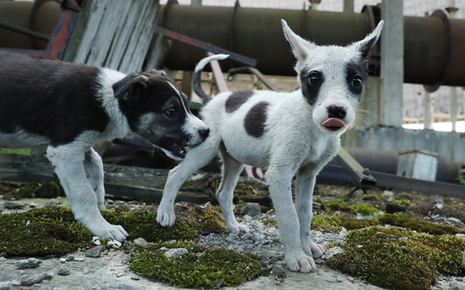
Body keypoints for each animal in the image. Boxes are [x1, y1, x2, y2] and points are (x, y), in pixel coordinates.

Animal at [0, 51, 208, 240]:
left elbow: (97, 161)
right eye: (171, 110)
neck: (109, 100)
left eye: (187, 107)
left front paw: (99, 194)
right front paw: (101, 226)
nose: (206, 131)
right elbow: (83, 192)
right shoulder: (64, 149)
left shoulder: (80, 141)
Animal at [158, 19, 382, 272]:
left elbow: (305, 213)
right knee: (175, 174)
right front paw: (297, 257)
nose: (336, 111)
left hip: (234, 159)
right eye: (314, 78)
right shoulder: (279, 174)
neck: (312, 125)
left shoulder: (308, 175)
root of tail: (213, 99)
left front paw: (308, 246)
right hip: (204, 150)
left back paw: (233, 226)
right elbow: (289, 217)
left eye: (356, 81)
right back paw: (165, 213)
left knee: (223, 192)